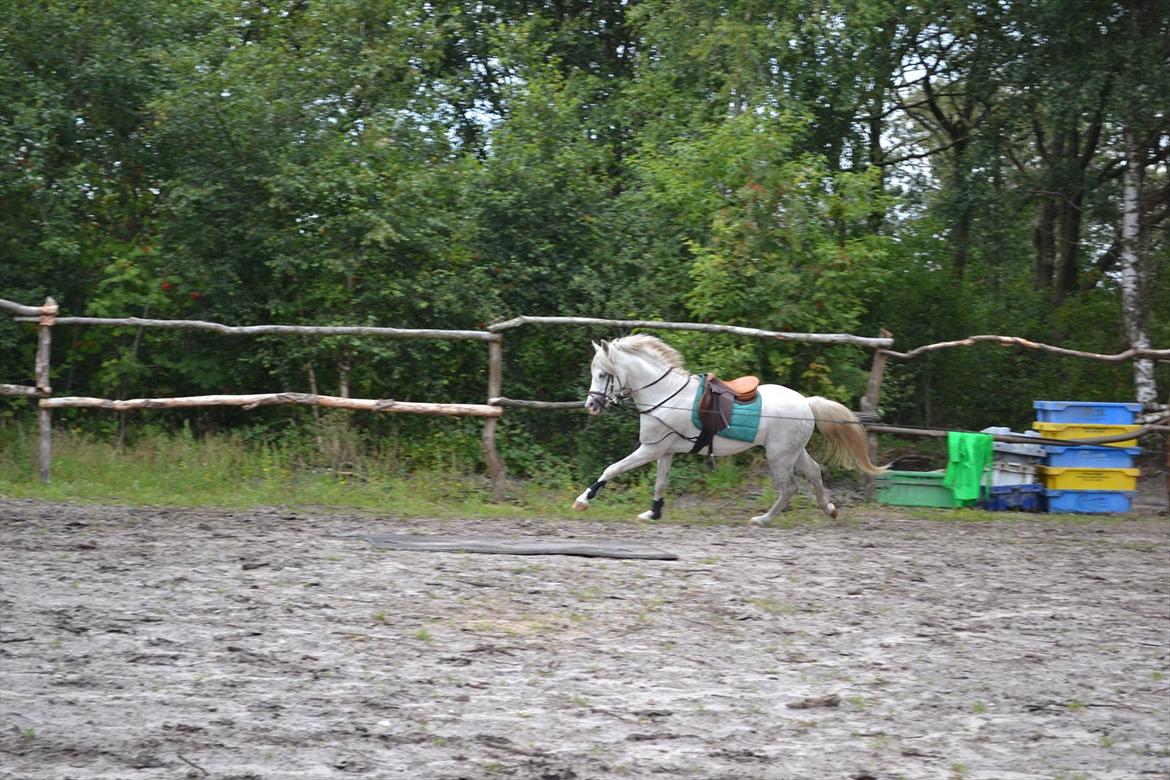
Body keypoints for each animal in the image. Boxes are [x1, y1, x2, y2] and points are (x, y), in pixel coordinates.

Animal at [572, 334, 885, 524]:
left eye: (603, 374)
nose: (592, 405)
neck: (665, 394)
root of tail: (807, 403)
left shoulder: (651, 448)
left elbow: (612, 469)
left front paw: (583, 500)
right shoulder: (665, 450)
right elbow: (660, 482)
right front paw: (652, 513)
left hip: (778, 456)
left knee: (789, 487)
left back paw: (763, 519)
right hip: (794, 452)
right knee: (814, 473)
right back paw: (829, 509)